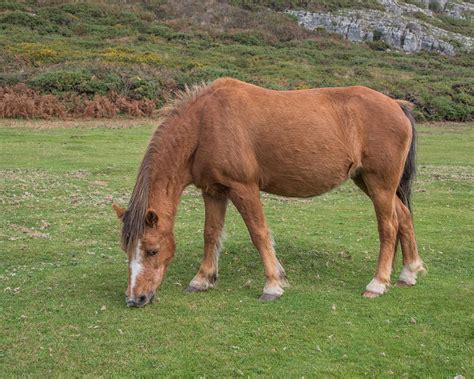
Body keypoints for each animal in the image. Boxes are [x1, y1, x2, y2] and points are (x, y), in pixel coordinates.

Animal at [114, 78, 426, 308]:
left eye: (152, 250)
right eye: (127, 249)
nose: (135, 299)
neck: (205, 124)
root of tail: (396, 104)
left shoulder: (244, 188)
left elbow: (259, 233)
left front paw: (273, 285)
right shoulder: (214, 191)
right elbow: (211, 233)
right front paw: (203, 279)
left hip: (380, 184)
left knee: (389, 226)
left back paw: (378, 283)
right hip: (370, 183)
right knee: (404, 218)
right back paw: (408, 272)